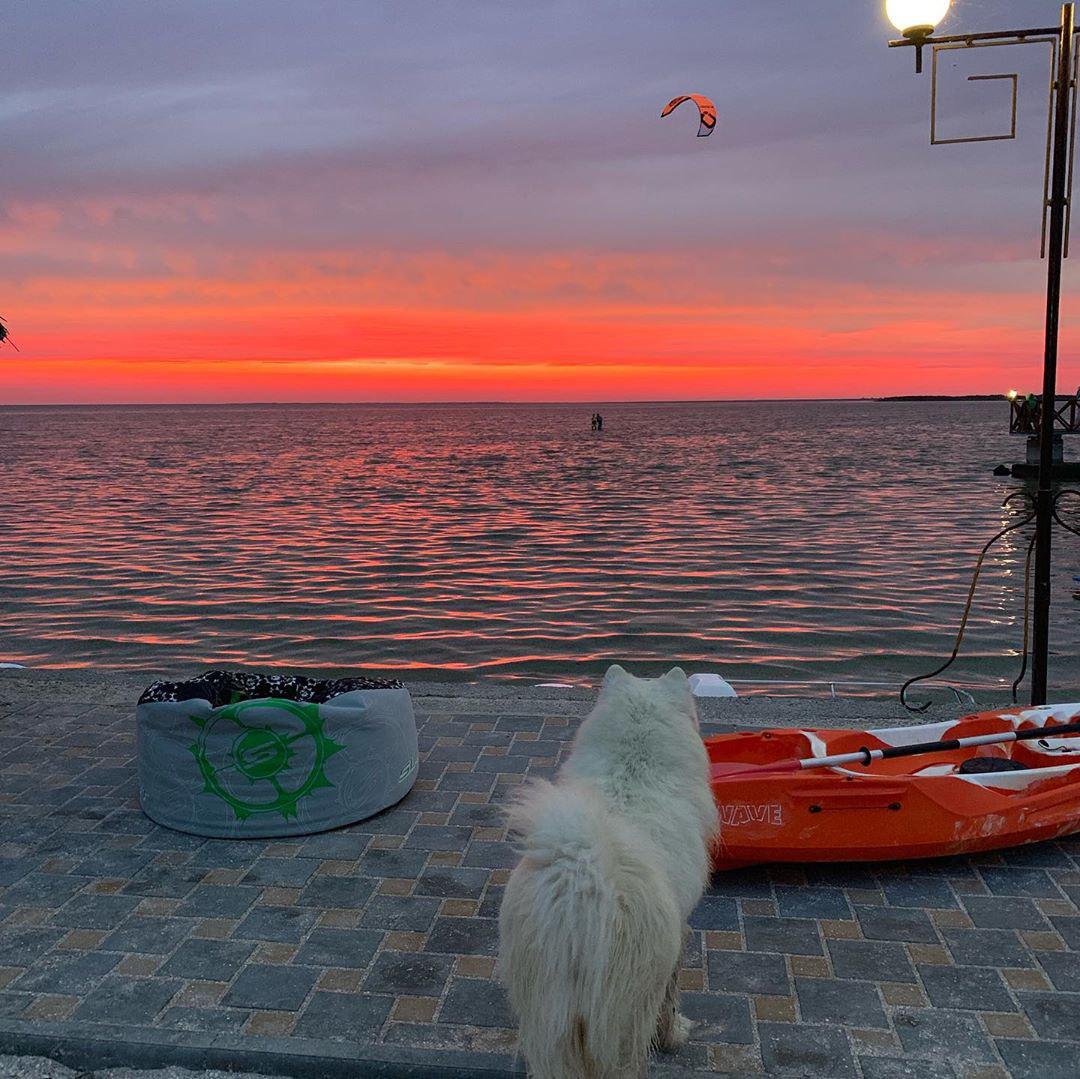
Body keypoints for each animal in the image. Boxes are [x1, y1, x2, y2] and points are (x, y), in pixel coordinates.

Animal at [496, 665, 717, 1079]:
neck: (633, 765)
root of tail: (580, 883)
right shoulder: (678, 933)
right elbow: (672, 998)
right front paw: (675, 1035)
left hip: (548, 1016)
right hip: (621, 1015)